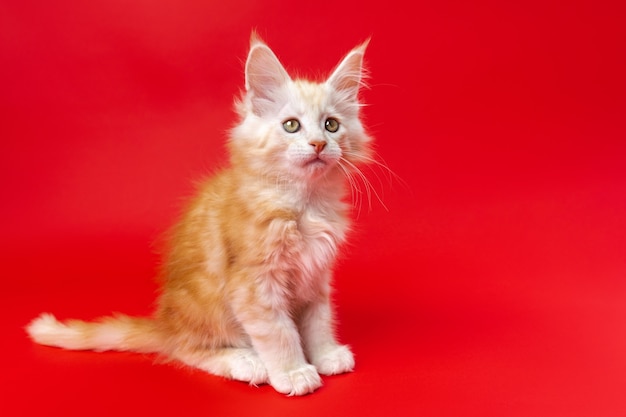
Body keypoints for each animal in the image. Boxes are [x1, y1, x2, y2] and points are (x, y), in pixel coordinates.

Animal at [25, 34, 370, 394]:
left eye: (331, 125)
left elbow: (319, 321)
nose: (318, 144)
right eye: (291, 125)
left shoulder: (316, 275)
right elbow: (279, 331)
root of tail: (167, 323)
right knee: (185, 350)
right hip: (207, 306)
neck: (304, 203)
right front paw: (294, 372)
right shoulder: (253, 283)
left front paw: (326, 353)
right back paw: (245, 362)